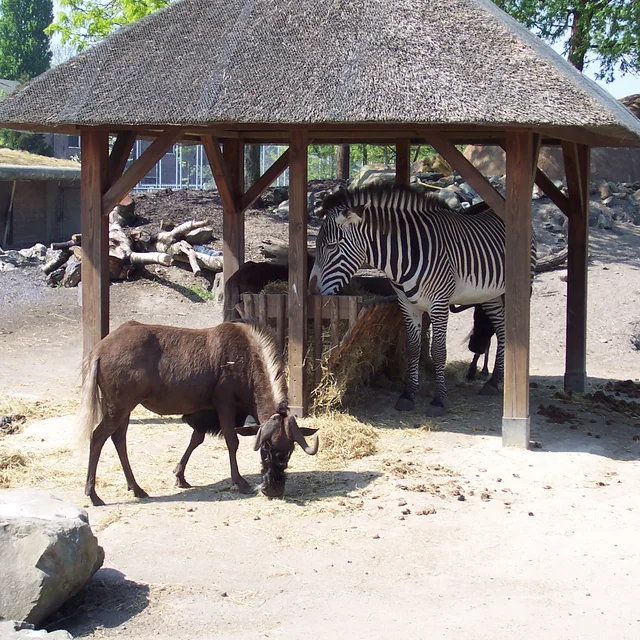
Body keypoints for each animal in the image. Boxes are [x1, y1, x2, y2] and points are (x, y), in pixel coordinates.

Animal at [309, 183, 536, 417]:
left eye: (331, 246)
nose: (311, 291)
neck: (406, 255)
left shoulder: (439, 303)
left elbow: (438, 351)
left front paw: (438, 400)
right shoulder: (407, 305)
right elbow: (412, 348)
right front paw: (408, 394)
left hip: (519, 287)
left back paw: (498, 382)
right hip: (489, 294)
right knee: (500, 328)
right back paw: (493, 381)